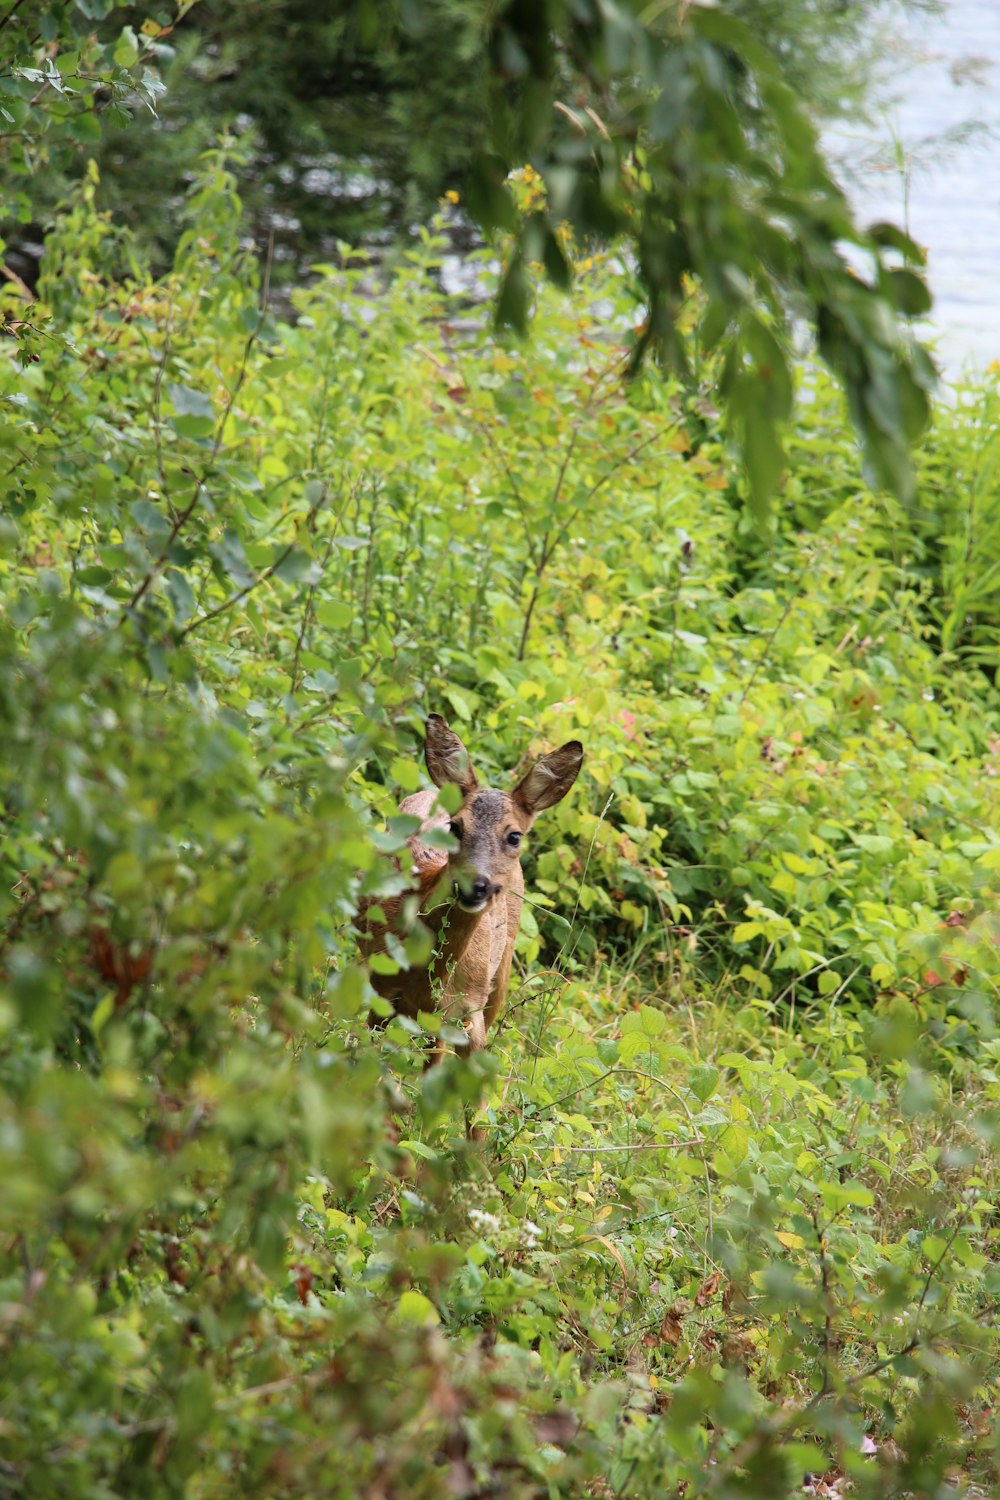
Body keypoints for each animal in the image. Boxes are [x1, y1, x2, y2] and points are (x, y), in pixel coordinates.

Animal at [361, 714, 581, 1056]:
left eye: (515, 836)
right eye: (454, 826)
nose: (473, 886)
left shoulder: (464, 1015)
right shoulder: (380, 988)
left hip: (501, 971)